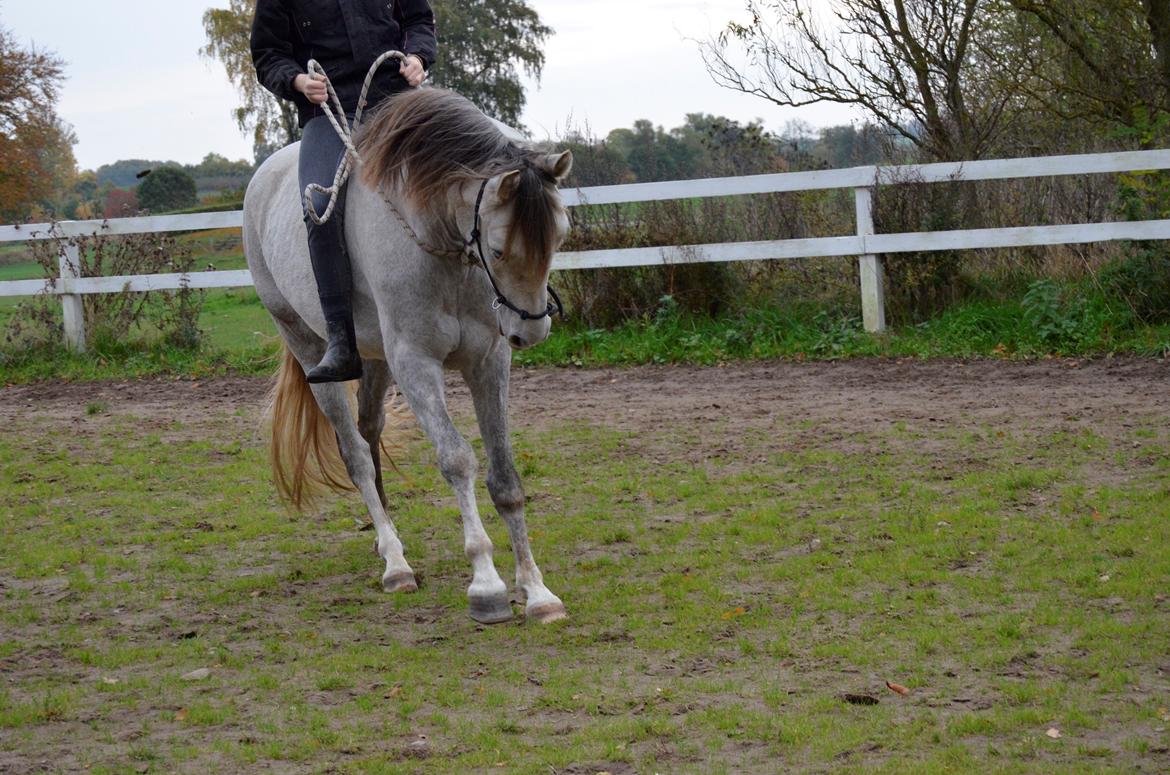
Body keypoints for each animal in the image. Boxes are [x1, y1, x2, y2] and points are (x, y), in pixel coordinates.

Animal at [244, 89, 573, 627]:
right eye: (498, 248)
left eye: (559, 237)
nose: (531, 330)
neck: (440, 246)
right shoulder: (417, 365)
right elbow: (456, 459)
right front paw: (487, 586)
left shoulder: (488, 363)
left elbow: (504, 474)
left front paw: (537, 591)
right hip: (310, 349)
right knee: (354, 452)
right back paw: (395, 564)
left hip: (375, 361)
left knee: (369, 431)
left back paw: (386, 543)